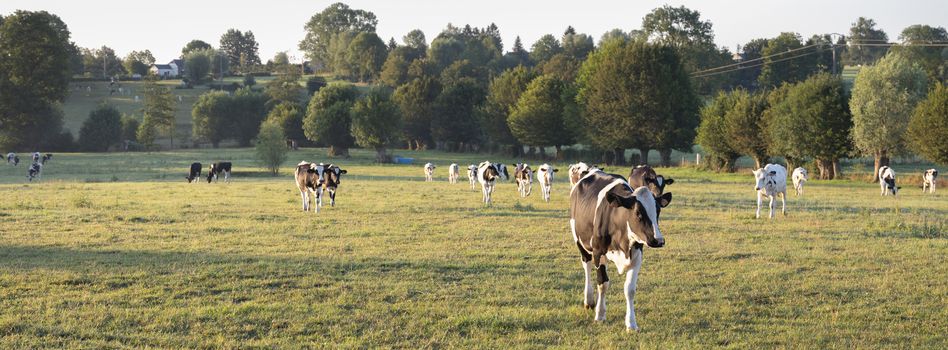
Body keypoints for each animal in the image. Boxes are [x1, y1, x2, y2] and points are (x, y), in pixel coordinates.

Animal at [568, 169, 672, 330]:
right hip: (580, 241)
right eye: (638, 213)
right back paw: (589, 300)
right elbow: (603, 283)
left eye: (658, 211)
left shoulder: (637, 255)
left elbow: (630, 289)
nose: (659, 240)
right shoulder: (598, 252)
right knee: (587, 265)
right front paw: (600, 315)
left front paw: (631, 323)